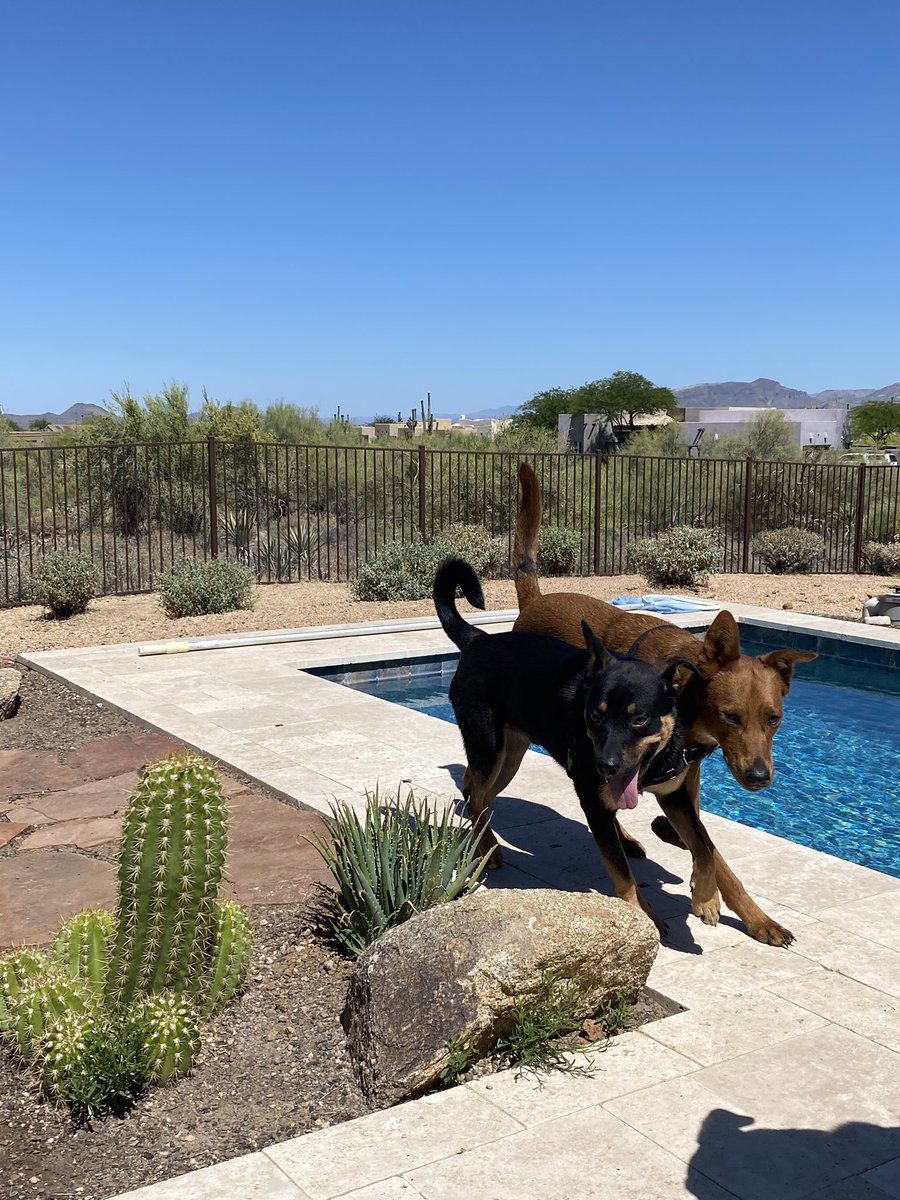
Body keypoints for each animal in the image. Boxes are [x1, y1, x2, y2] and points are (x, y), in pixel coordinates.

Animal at [434, 554, 696, 936]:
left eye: (639, 719)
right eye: (595, 717)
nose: (605, 766)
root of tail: (479, 641)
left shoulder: (672, 793)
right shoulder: (594, 803)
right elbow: (623, 875)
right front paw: (645, 916)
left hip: (510, 755)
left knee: (475, 791)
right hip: (489, 746)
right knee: (475, 792)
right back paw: (490, 850)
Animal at [513, 460, 816, 945]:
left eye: (774, 719)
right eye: (731, 717)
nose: (759, 777)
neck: (687, 705)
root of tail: (535, 600)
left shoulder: (684, 789)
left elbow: (708, 849)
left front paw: (755, 917)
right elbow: (707, 849)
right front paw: (706, 895)